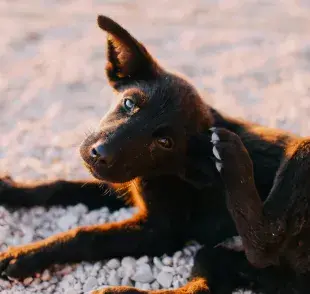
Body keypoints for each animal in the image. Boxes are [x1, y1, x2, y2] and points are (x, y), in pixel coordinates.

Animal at [1, 15, 308, 294]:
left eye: (164, 142)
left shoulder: (159, 232)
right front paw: (12, 191)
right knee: (208, 281)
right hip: (230, 260)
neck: (167, 171)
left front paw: (24, 255)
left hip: (302, 155)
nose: (98, 154)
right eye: (128, 103)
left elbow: (88, 235)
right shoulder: (122, 186)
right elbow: (59, 186)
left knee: (263, 244)